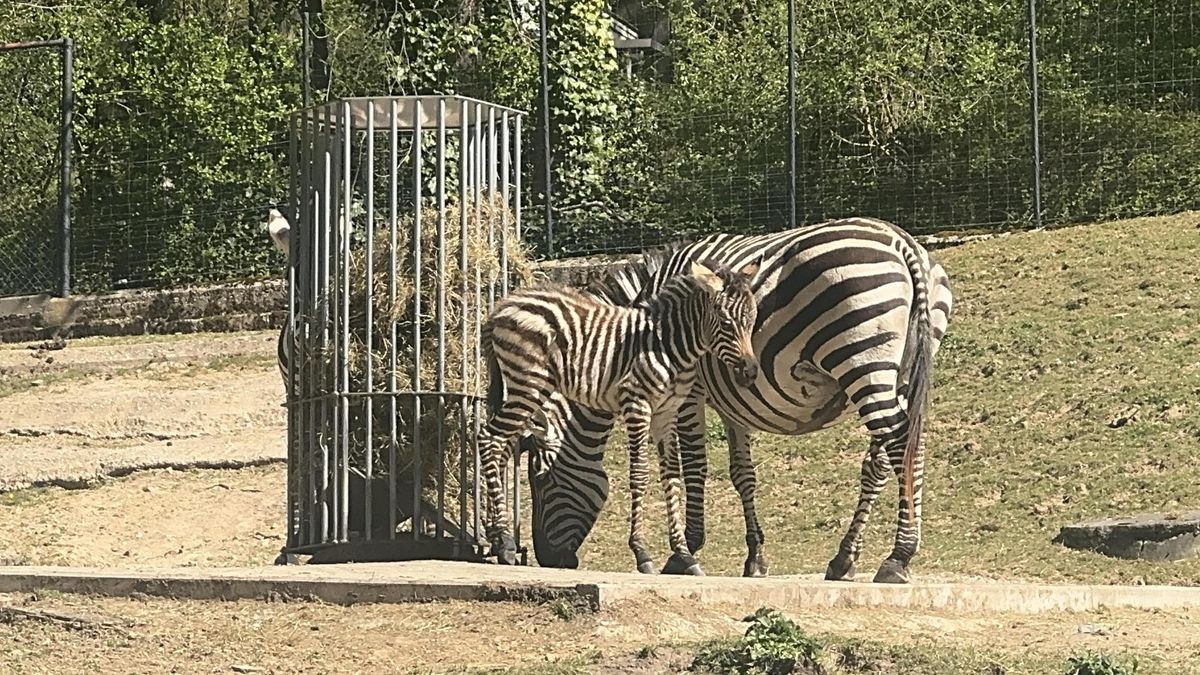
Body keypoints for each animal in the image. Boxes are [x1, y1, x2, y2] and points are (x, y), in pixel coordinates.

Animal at [479, 261, 762, 576]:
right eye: (725, 323)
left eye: (752, 321)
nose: (750, 372)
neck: (668, 344)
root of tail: (502, 307)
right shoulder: (636, 403)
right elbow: (639, 474)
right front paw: (642, 552)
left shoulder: (667, 412)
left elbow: (672, 476)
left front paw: (684, 554)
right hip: (528, 384)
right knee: (490, 439)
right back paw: (505, 542)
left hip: (524, 389)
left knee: (502, 445)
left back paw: (499, 539)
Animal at [522, 217, 954, 584]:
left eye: (541, 481)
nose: (550, 560)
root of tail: (904, 244)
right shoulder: (736, 401)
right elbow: (742, 474)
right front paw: (755, 558)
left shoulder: (687, 389)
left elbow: (690, 466)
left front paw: (684, 552)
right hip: (900, 371)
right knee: (894, 454)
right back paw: (861, 557)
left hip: (862, 357)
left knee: (900, 444)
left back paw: (888, 557)